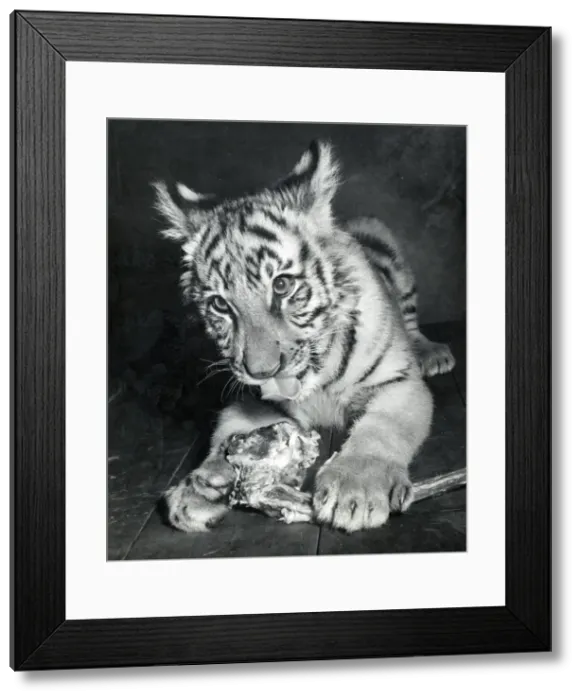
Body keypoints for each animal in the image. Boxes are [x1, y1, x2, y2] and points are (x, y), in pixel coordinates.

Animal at [153, 139, 456, 534]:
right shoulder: (253, 401)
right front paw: (201, 486)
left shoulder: (399, 384)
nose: (262, 371)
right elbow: (226, 434)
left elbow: (381, 430)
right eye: (220, 304)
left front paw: (355, 490)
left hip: (385, 245)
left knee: (411, 320)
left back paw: (432, 353)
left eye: (282, 285)